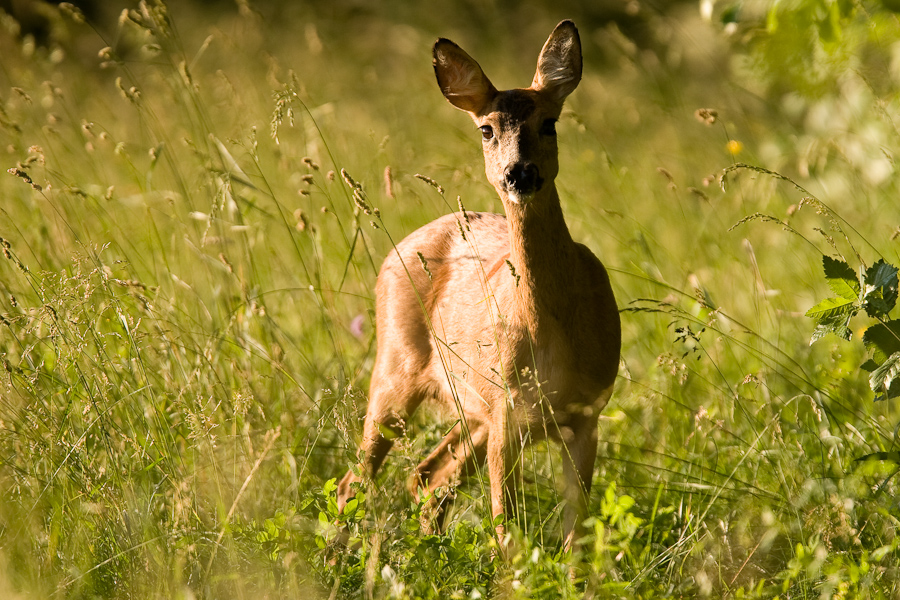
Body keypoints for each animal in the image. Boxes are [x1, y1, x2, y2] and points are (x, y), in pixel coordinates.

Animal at [336, 21, 620, 552]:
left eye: (550, 123)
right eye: (486, 129)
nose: (519, 173)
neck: (551, 334)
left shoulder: (586, 414)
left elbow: (575, 535)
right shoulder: (508, 413)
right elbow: (506, 532)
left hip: (472, 408)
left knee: (427, 477)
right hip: (395, 370)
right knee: (356, 480)